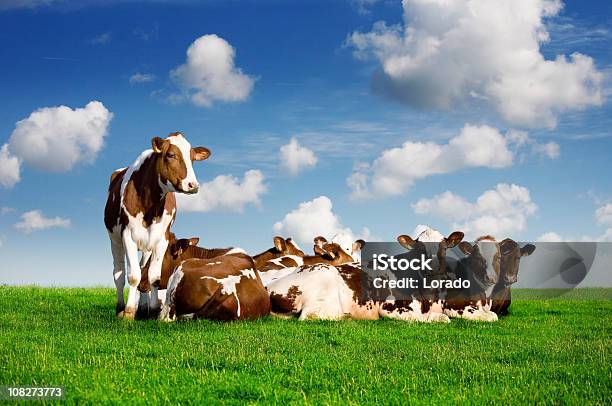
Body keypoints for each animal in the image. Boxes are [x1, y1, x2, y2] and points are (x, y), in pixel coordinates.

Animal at [104, 132, 212, 318]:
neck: (150, 207)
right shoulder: (128, 236)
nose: (193, 185)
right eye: (171, 155)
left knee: (143, 270)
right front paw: (128, 313)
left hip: (147, 245)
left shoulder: (162, 238)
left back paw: (143, 308)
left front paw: (153, 310)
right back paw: (120, 308)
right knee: (119, 274)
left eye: (192, 158)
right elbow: (133, 276)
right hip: (115, 240)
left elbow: (153, 276)